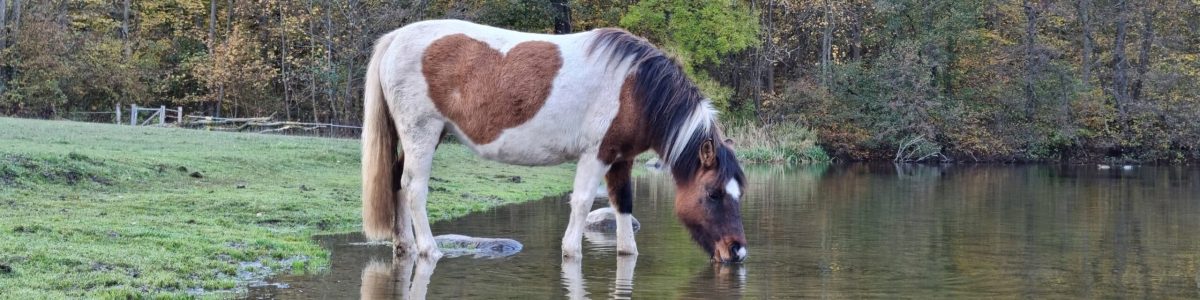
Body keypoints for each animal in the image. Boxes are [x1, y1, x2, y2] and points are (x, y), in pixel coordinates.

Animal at [360, 19, 744, 262]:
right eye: (713, 194)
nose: (737, 252)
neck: (635, 87)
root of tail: (396, 38)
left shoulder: (621, 158)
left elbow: (623, 204)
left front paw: (627, 251)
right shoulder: (597, 154)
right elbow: (583, 202)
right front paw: (571, 251)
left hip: (422, 137)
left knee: (395, 182)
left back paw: (405, 246)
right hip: (422, 135)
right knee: (413, 188)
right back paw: (428, 249)